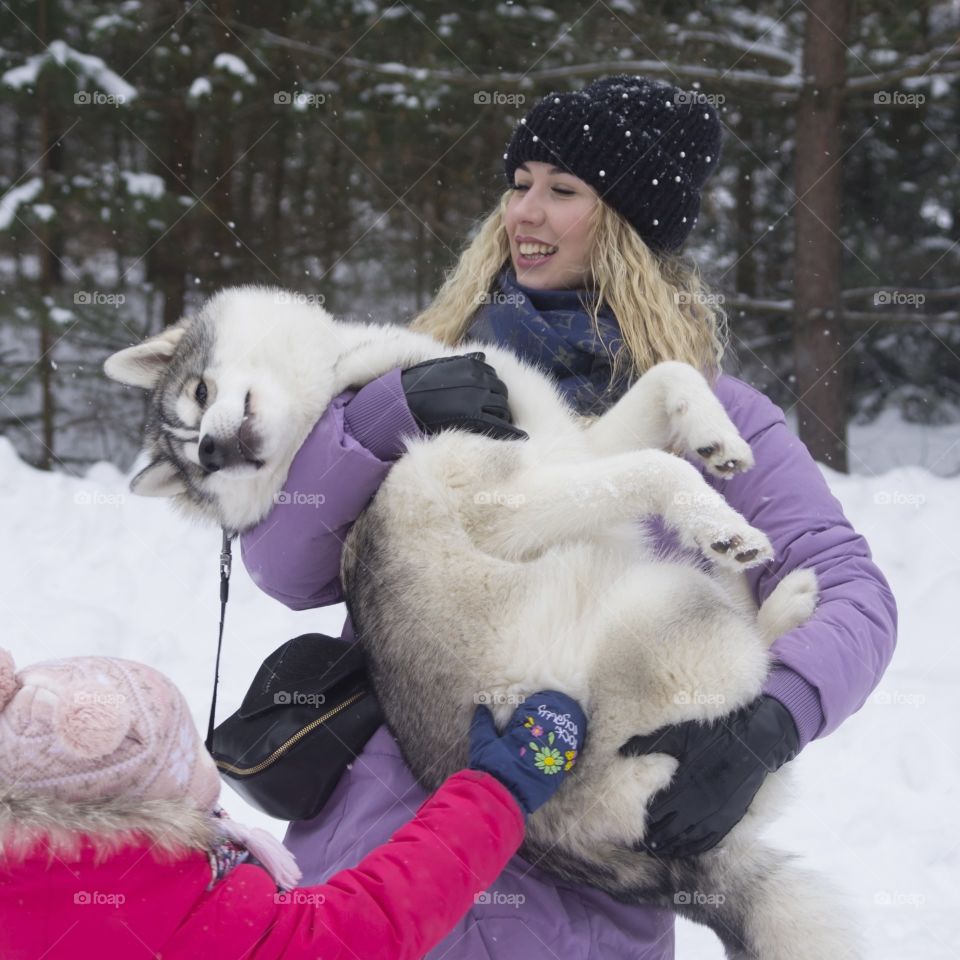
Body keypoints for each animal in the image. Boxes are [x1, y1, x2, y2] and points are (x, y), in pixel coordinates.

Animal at [109, 286, 860, 960]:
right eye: (197, 457)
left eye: (198, 398)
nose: (213, 449)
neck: (352, 375)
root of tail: (661, 870)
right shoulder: (506, 504)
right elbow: (650, 469)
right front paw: (716, 519)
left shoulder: (571, 446)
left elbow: (669, 375)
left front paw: (717, 438)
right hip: (659, 608)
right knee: (741, 649)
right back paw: (770, 593)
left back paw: (785, 592)